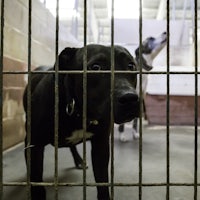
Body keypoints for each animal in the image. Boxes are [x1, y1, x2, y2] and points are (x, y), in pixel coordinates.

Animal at [23, 44, 139, 199]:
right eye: (95, 67)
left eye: (131, 66)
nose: (130, 98)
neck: (78, 111)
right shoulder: (34, 145)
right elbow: (37, 184)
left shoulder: (101, 146)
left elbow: (102, 184)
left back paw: (79, 161)